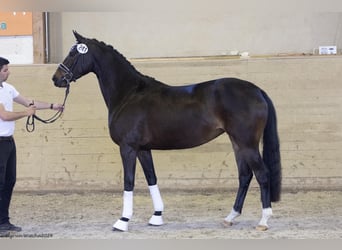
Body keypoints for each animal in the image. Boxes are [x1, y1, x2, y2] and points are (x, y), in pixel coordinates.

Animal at [51, 31, 280, 232]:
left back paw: (263, 221)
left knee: (262, 174)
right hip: (237, 142)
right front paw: (156, 217)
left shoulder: (128, 148)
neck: (129, 94)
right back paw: (230, 217)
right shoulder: (143, 149)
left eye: (73, 54)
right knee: (245, 175)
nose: (56, 78)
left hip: (247, 143)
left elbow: (129, 181)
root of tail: (256, 90)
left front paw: (122, 221)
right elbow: (152, 179)